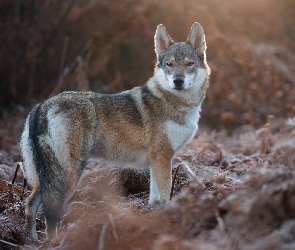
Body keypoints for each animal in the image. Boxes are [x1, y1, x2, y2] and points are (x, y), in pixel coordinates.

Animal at [20, 22, 210, 239]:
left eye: (189, 64)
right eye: (170, 64)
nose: (178, 81)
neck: (177, 103)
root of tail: (44, 104)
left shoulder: (156, 162)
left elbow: (154, 200)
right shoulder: (162, 158)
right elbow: (165, 198)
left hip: (44, 178)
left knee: (30, 203)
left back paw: (33, 241)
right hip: (68, 176)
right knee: (50, 213)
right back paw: (54, 241)